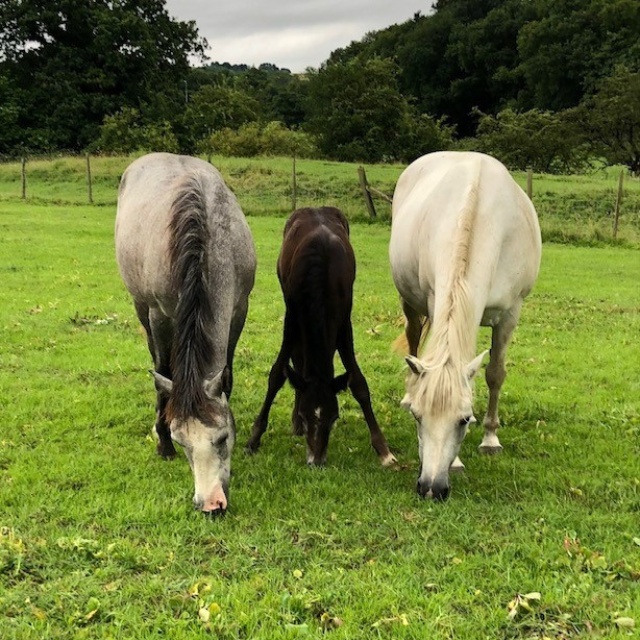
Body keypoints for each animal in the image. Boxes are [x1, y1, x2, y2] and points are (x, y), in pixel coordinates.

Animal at [115, 153, 256, 514]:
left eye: (223, 437)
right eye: (182, 441)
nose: (211, 504)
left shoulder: (239, 310)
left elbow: (228, 374)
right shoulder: (160, 315)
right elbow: (163, 374)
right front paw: (163, 441)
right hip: (141, 307)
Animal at [246, 206, 396, 467]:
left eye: (334, 417)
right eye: (306, 416)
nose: (316, 460)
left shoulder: (344, 320)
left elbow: (358, 382)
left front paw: (383, 449)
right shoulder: (292, 316)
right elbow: (277, 374)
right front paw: (254, 437)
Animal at [389, 151, 541, 500]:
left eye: (464, 420)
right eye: (418, 417)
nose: (431, 487)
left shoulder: (510, 314)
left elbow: (495, 374)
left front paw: (490, 439)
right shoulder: (436, 300)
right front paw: (457, 461)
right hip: (410, 303)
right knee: (414, 337)